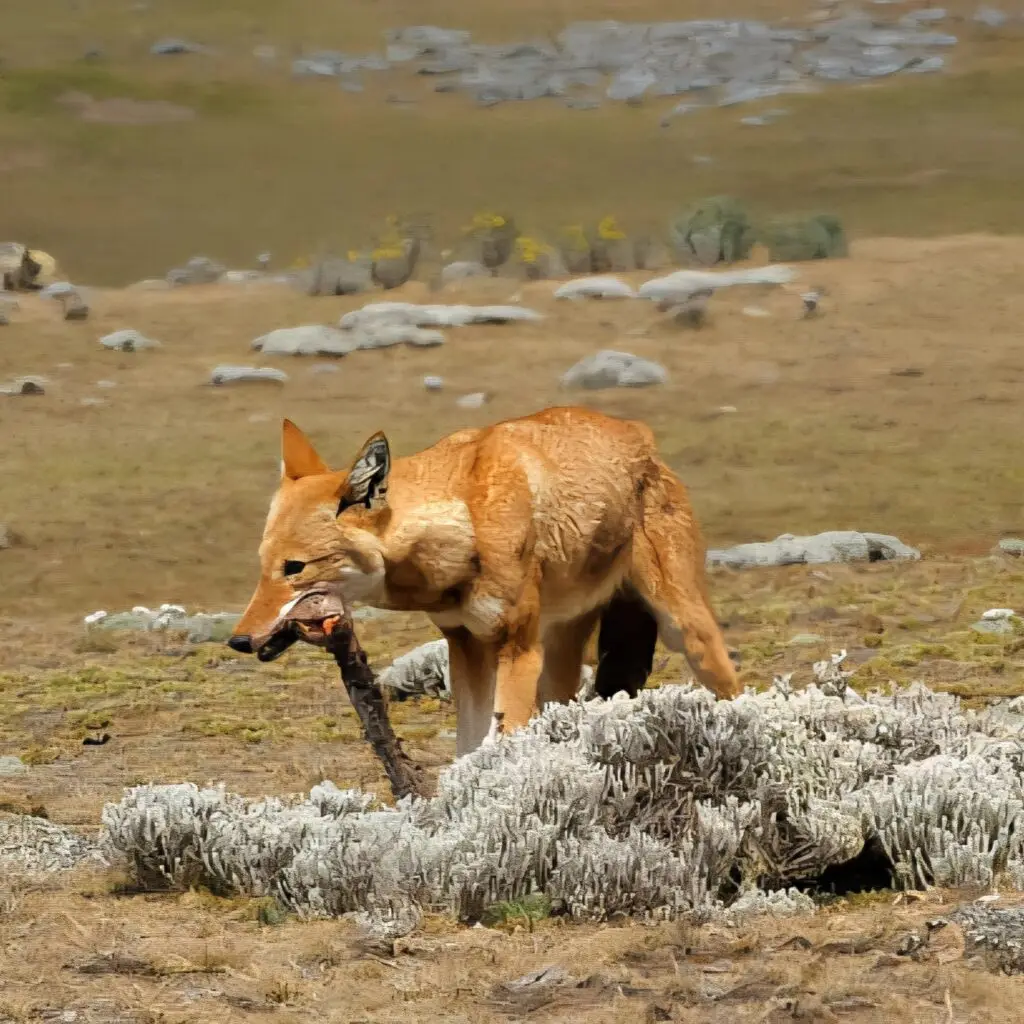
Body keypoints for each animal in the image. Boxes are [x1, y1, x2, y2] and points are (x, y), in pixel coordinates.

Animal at [229, 406, 740, 754]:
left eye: (294, 568)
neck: (467, 520)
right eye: (263, 565)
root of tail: (640, 433)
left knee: (735, 693)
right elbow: (468, 750)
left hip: (683, 633)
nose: (238, 640)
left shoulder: (517, 650)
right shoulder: (465, 647)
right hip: (560, 653)